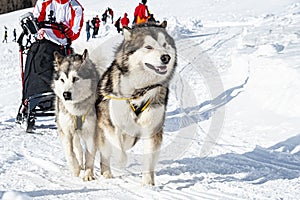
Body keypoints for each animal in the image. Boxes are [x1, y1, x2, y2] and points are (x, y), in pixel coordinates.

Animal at [52, 49, 99, 180]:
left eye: (75, 78)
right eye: (62, 80)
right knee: (77, 148)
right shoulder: (66, 131)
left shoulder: (91, 131)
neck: (76, 110)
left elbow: (89, 155)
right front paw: (75, 169)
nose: (66, 94)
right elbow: (70, 152)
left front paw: (88, 174)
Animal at [96, 21, 176, 185]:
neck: (139, 91)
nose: (166, 57)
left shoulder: (152, 127)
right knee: (106, 152)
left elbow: (149, 158)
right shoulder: (110, 124)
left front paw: (148, 183)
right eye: (148, 47)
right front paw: (120, 162)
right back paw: (107, 173)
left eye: (165, 44)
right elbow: (118, 148)